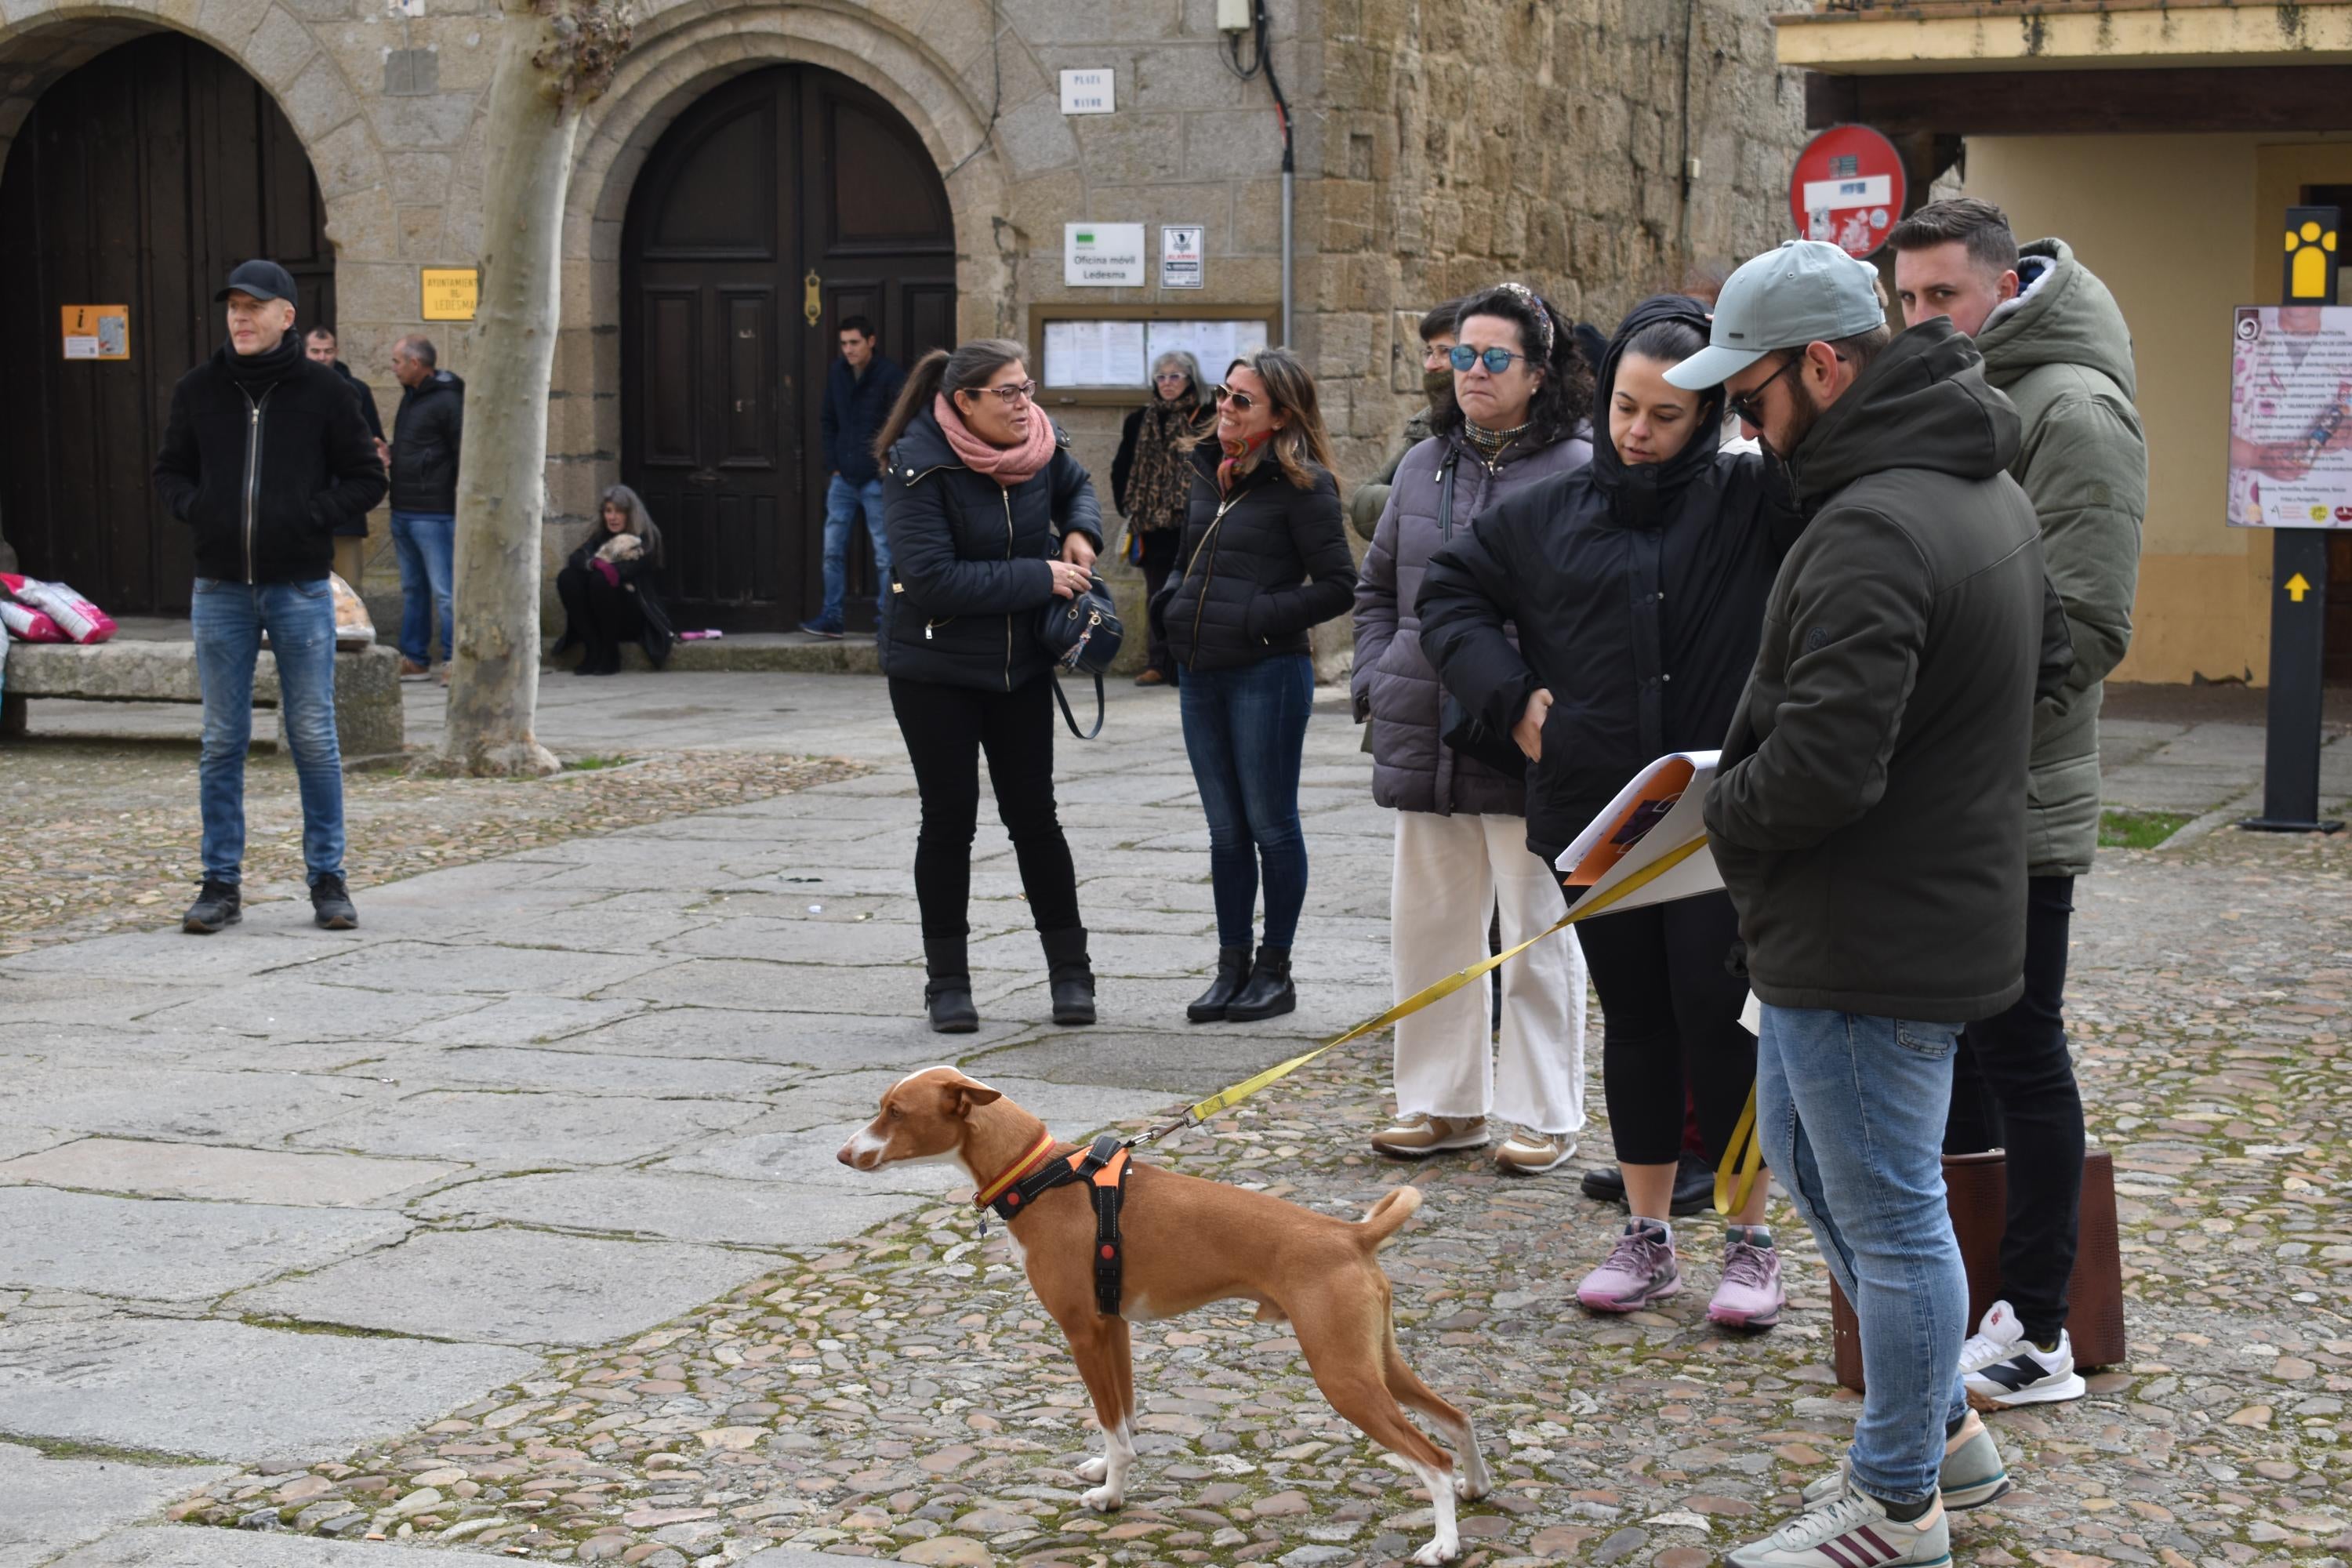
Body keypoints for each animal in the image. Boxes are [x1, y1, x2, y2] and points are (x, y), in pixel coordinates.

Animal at [837, 1062, 1477, 1561]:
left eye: (895, 1112)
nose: (843, 1155)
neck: (1042, 1178)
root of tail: (1353, 1235)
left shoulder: (1083, 1334)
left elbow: (1113, 1429)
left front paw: (1111, 1498)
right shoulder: (1114, 1329)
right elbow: (1125, 1420)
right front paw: (1107, 1471)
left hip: (1342, 1375)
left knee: (1433, 1456)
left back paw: (1445, 1543)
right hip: (1376, 1362)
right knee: (1458, 1419)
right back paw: (1479, 1486)